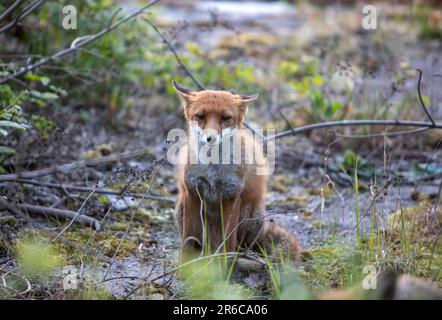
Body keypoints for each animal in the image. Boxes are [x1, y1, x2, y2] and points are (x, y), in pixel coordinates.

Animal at [172, 80, 300, 262]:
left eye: (226, 118)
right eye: (200, 116)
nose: (210, 138)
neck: (213, 169)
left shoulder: (232, 195)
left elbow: (229, 241)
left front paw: (227, 264)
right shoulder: (192, 192)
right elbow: (188, 240)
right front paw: (186, 264)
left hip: (252, 213)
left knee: (241, 245)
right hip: (181, 207)